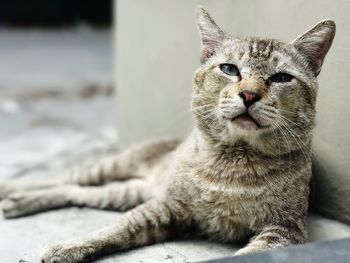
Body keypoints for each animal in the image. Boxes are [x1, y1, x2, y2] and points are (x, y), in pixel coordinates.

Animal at [0, 6, 334, 263]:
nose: (249, 95)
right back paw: (12, 190)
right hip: (116, 168)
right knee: (68, 178)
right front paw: (70, 246)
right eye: (229, 69)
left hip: (128, 192)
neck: (235, 160)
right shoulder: (166, 207)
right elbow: (115, 229)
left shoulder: (284, 230)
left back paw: (18, 201)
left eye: (281, 78)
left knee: (78, 192)